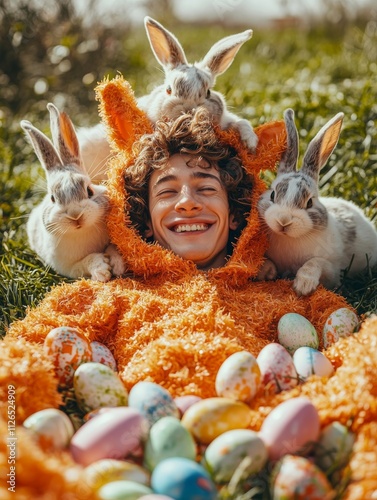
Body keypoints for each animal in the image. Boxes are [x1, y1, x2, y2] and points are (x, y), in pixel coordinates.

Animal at [21, 102, 124, 282]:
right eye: (53, 198)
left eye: (89, 190)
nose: (76, 217)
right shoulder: (68, 268)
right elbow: (85, 262)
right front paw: (102, 271)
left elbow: (113, 247)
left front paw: (118, 265)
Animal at [258, 108, 376, 296]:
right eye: (273, 195)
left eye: (309, 203)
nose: (283, 221)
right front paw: (267, 271)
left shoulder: (333, 271)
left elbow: (316, 263)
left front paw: (303, 286)